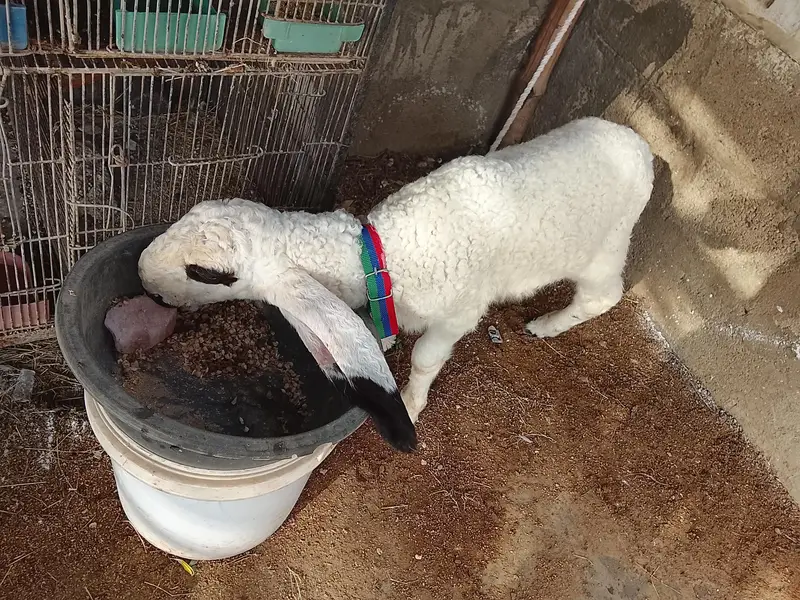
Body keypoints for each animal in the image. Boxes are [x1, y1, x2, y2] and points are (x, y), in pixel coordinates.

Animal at [138, 117, 654, 453]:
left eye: (206, 273)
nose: (143, 276)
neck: (381, 258)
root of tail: (642, 146)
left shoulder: (456, 316)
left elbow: (425, 359)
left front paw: (409, 401)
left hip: (607, 244)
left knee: (603, 295)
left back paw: (546, 325)